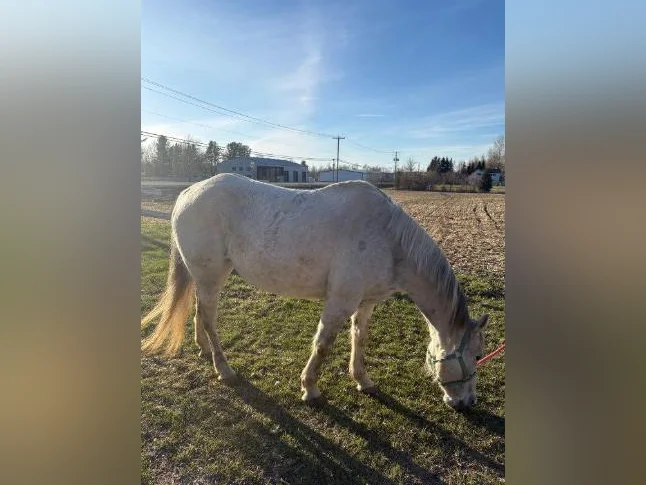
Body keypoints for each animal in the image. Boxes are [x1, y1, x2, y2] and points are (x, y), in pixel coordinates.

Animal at [141, 173, 488, 410]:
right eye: (477, 355)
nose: (468, 403)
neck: (390, 240)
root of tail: (188, 192)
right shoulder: (340, 302)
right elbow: (322, 345)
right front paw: (310, 389)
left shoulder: (365, 303)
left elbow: (359, 338)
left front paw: (363, 380)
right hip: (211, 276)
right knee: (210, 318)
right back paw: (224, 369)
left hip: (204, 278)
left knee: (200, 311)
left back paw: (204, 350)